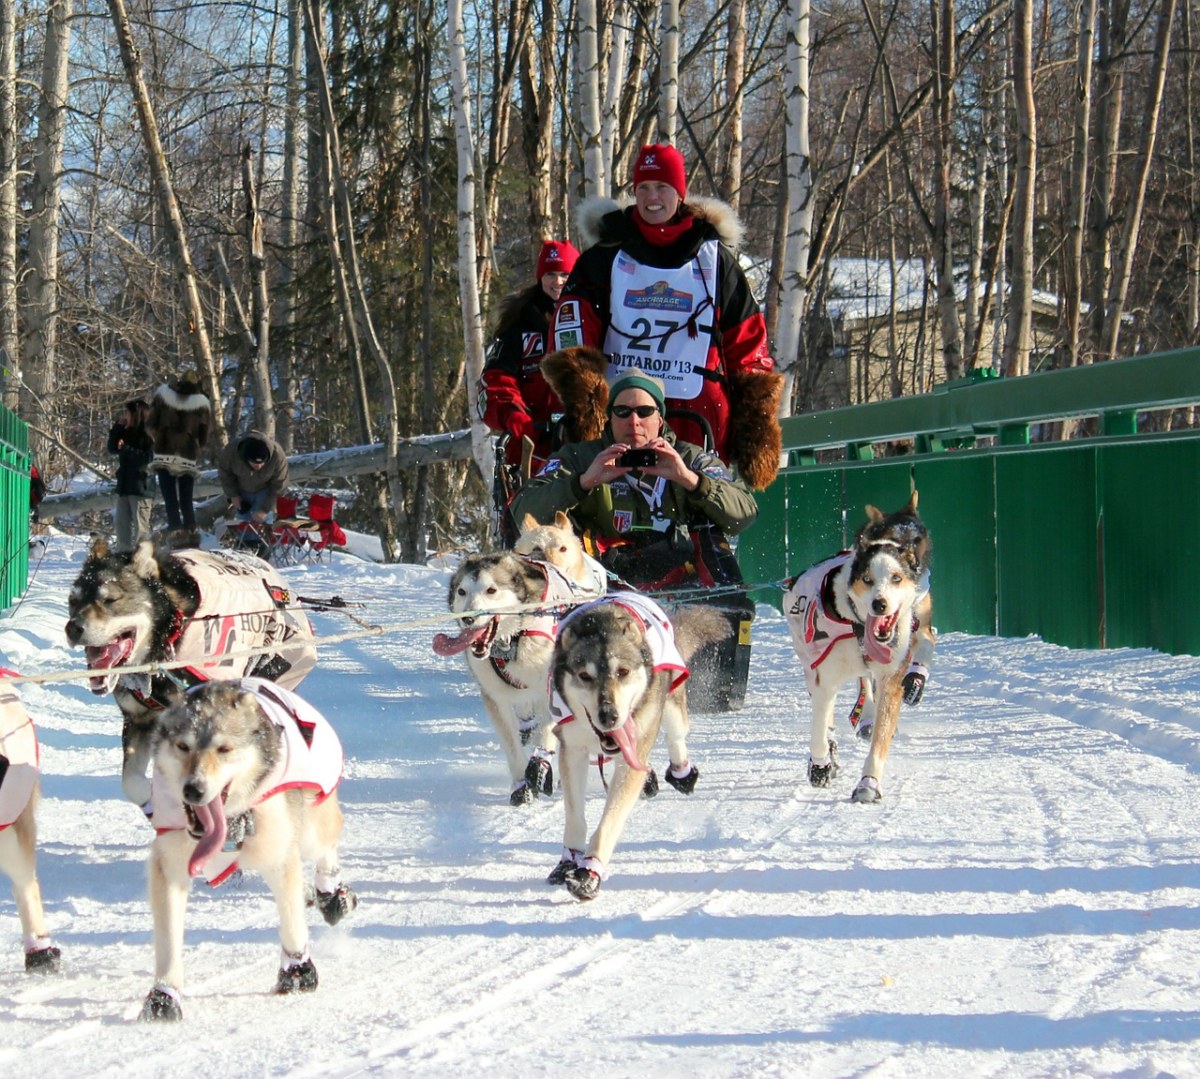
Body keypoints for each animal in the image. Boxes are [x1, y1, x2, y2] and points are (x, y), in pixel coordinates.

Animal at [777, 489, 936, 801]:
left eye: (897, 577)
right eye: (867, 579)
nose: (880, 603)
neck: (858, 625)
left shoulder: (891, 676)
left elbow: (880, 740)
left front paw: (868, 783)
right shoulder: (824, 680)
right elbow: (819, 728)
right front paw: (821, 765)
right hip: (809, 666)